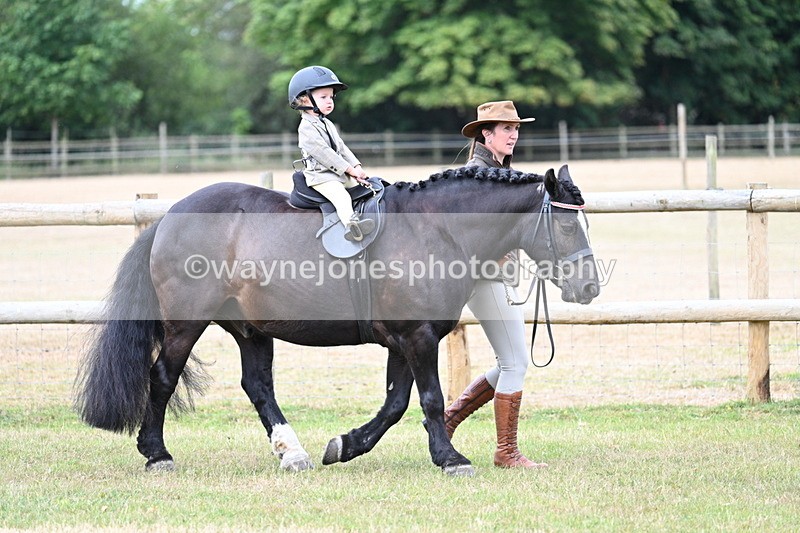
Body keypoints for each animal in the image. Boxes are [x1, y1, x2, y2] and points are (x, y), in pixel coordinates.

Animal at [75, 164, 599, 477]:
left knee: (258, 386)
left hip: (251, 330)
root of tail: (169, 217)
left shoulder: (403, 342)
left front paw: (345, 445)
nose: (590, 288)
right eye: (566, 222)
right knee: (162, 377)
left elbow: (394, 405)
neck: (435, 229)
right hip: (186, 324)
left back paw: (294, 453)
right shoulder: (417, 337)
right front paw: (449, 458)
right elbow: (430, 400)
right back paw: (156, 454)